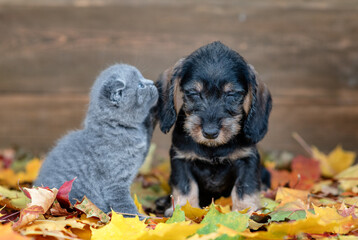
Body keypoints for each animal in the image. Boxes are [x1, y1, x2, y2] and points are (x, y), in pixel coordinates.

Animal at [34, 63, 158, 214]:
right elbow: (125, 207)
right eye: (141, 85)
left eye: (144, 79)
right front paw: (142, 218)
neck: (116, 127)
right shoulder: (115, 183)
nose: (153, 83)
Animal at [157, 41, 272, 216]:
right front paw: (184, 211)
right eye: (194, 93)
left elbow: (244, 188)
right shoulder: (181, 160)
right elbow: (186, 187)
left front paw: (245, 211)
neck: (213, 148)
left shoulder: (248, 160)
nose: (210, 133)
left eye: (231, 94)